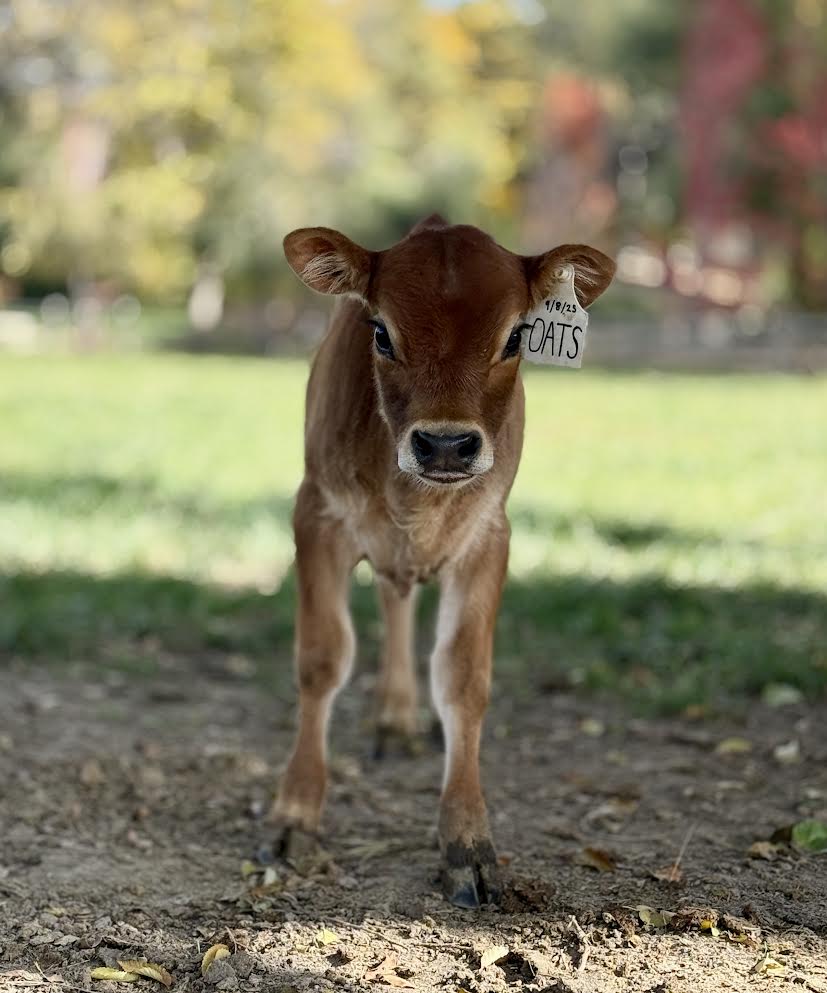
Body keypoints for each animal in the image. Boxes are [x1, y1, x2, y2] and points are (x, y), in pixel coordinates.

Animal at [272, 214, 614, 907]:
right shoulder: (316, 517)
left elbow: (462, 679)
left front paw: (467, 843)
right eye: (380, 330)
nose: (447, 444)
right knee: (391, 601)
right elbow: (321, 661)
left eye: (517, 334)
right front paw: (298, 815)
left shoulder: (488, 539)